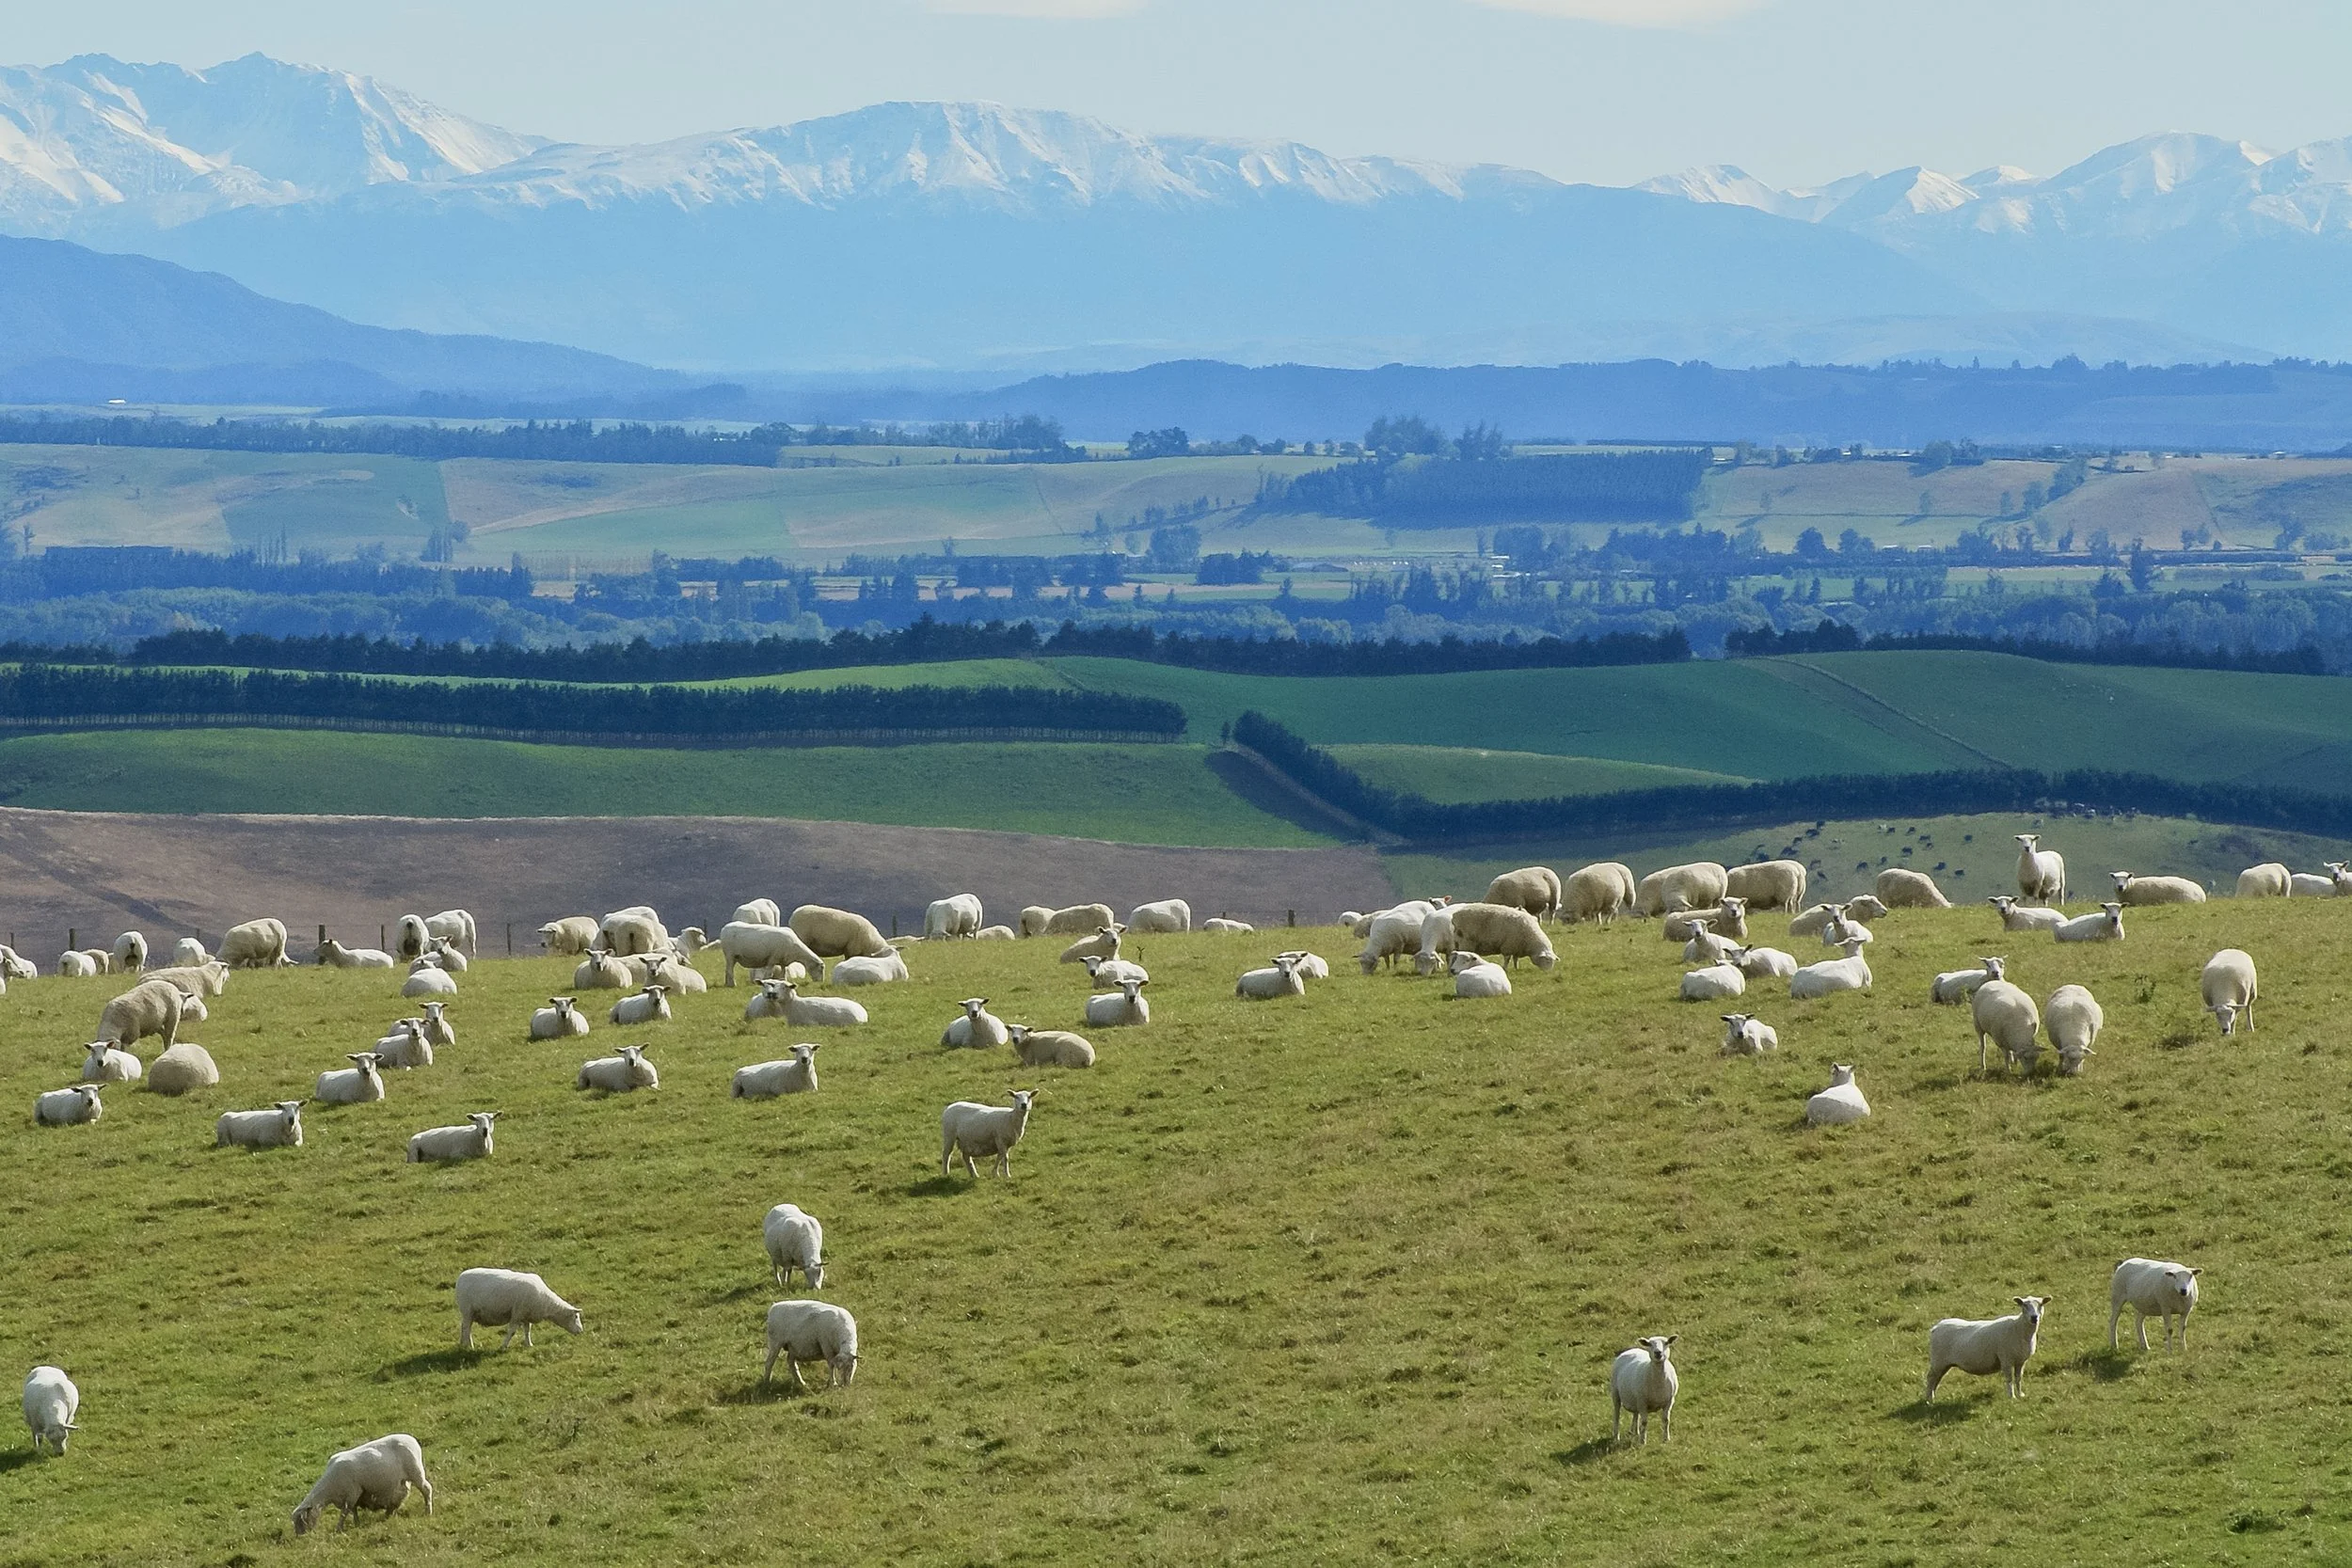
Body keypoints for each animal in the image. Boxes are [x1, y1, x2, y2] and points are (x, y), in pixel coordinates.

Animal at [291, 1434, 432, 1534]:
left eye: (301, 1521)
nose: (300, 1537)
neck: (330, 1488)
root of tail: (412, 1439)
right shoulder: (354, 1495)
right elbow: (353, 1510)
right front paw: (356, 1523)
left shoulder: (352, 1493)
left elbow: (345, 1512)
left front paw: (338, 1528)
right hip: (403, 1480)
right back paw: (388, 1514)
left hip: (416, 1472)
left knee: (426, 1489)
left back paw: (428, 1511)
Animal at [455, 1267, 581, 1350]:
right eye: (576, 1316)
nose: (581, 1331)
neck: (546, 1302)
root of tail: (461, 1277)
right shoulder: (517, 1314)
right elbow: (512, 1331)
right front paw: (503, 1346)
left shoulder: (526, 1315)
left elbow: (527, 1330)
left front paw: (529, 1344)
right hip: (467, 1310)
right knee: (466, 1328)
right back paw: (469, 1346)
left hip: (469, 1313)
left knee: (464, 1326)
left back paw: (462, 1344)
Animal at [1925, 1295, 2049, 1401]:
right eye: (2024, 1305)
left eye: (2041, 1304)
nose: (2034, 1318)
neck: (2019, 1328)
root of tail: (1936, 1327)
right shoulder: (2006, 1359)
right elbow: (2009, 1379)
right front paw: (2012, 1397)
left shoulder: (2021, 1360)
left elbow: (2019, 1378)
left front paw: (2021, 1395)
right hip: (1938, 1361)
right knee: (1931, 1378)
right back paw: (1929, 1399)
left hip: (1943, 1364)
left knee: (1937, 1379)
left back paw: (1933, 1397)